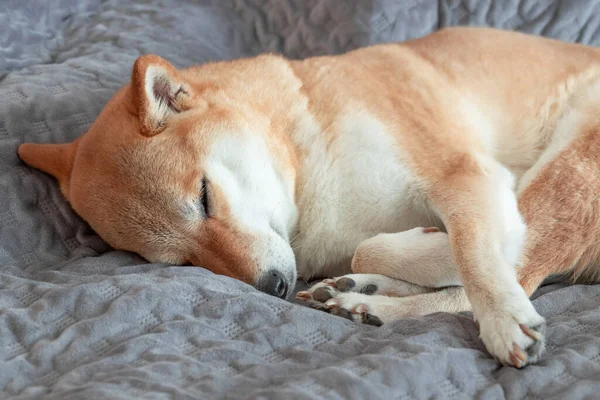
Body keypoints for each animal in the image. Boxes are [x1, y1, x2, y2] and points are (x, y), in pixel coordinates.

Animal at [17, 26, 600, 368]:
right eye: (180, 262)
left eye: (205, 198)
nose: (271, 288)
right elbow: (402, 248)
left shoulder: (464, 172)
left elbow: (476, 257)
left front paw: (501, 316)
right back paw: (361, 296)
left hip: (569, 158)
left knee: (518, 263)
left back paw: (377, 298)